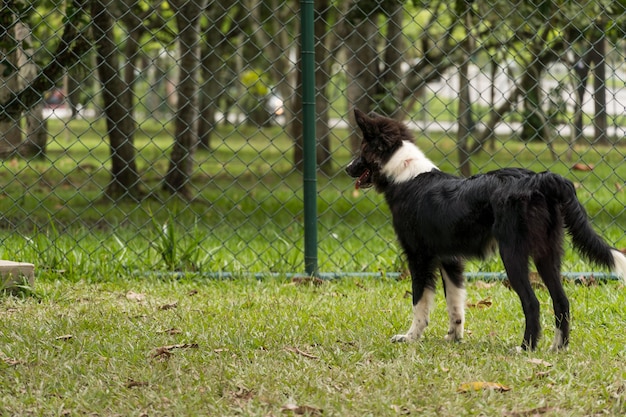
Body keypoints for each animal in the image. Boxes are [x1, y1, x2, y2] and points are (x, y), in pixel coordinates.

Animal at [346, 109, 624, 350]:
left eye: (362, 150)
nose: (347, 168)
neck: (403, 173)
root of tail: (541, 178)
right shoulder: (450, 260)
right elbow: (455, 304)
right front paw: (454, 338)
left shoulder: (419, 258)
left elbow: (419, 303)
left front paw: (410, 337)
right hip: (546, 255)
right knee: (561, 300)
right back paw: (558, 347)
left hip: (512, 255)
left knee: (532, 302)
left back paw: (525, 348)